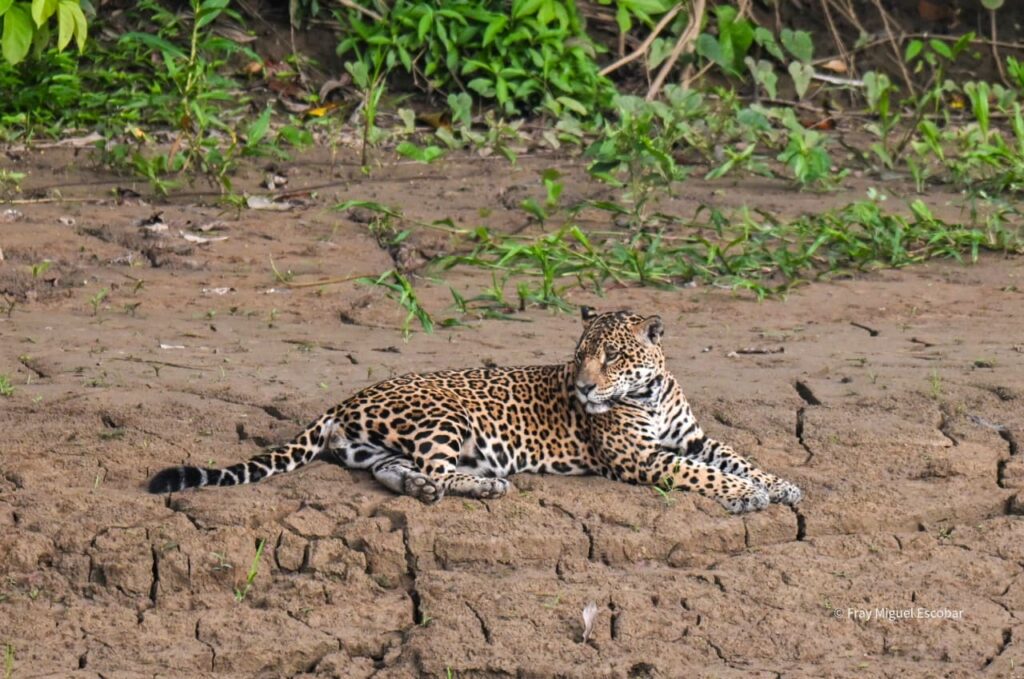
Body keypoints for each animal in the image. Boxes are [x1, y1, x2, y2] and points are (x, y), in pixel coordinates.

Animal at [148, 307, 803, 514]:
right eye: (580, 356)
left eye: (613, 357)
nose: (585, 388)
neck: (649, 393)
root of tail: (346, 397)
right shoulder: (643, 459)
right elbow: (703, 475)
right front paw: (747, 495)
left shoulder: (690, 437)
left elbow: (734, 455)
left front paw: (781, 484)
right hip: (444, 417)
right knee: (434, 470)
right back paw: (484, 486)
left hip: (376, 447)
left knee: (398, 473)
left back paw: (440, 488)